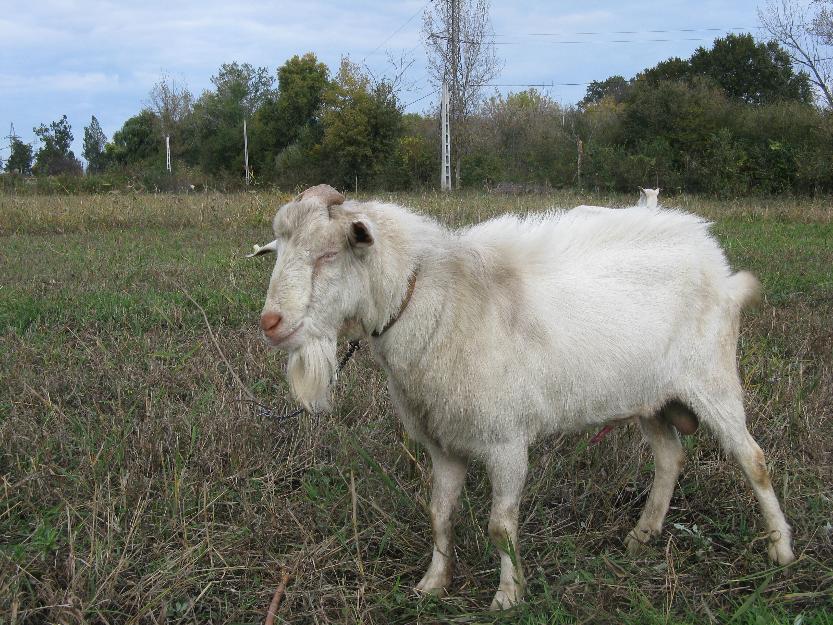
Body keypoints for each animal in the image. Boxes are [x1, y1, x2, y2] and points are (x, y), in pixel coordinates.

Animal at [252, 183, 792, 608]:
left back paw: (780, 550)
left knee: (753, 458)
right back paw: (642, 536)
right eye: (278, 252)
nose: (270, 323)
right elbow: (439, 515)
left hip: (712, 378)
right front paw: (433, 584)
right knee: (669, 457)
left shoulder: (506, 442)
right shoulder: (443, 443)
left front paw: (507, 597)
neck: (438, 303)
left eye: (328, 254)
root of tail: (709, 252)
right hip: (651, 397)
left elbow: (500, 526)